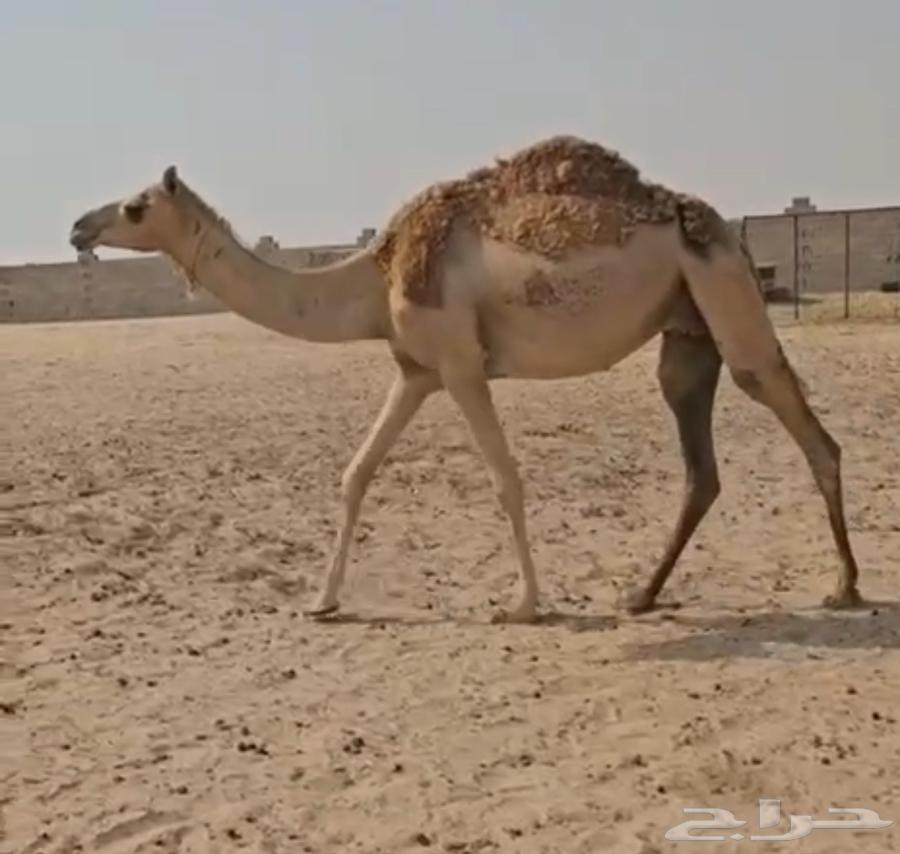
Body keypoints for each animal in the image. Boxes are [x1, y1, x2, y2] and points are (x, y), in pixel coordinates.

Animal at [69, 135, 863, 623]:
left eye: (135, 205)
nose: (79, 226)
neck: (374, 275)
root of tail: (725, 228)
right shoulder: (416, 370)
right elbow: (356, 474)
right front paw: (323, 602)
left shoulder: (458, 364)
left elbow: (504, 478)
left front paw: (525, 603)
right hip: (686, 330)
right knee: (701, 461)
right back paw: (640, 595)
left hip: (724, 291)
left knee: (800, 420)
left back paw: (843, 586)